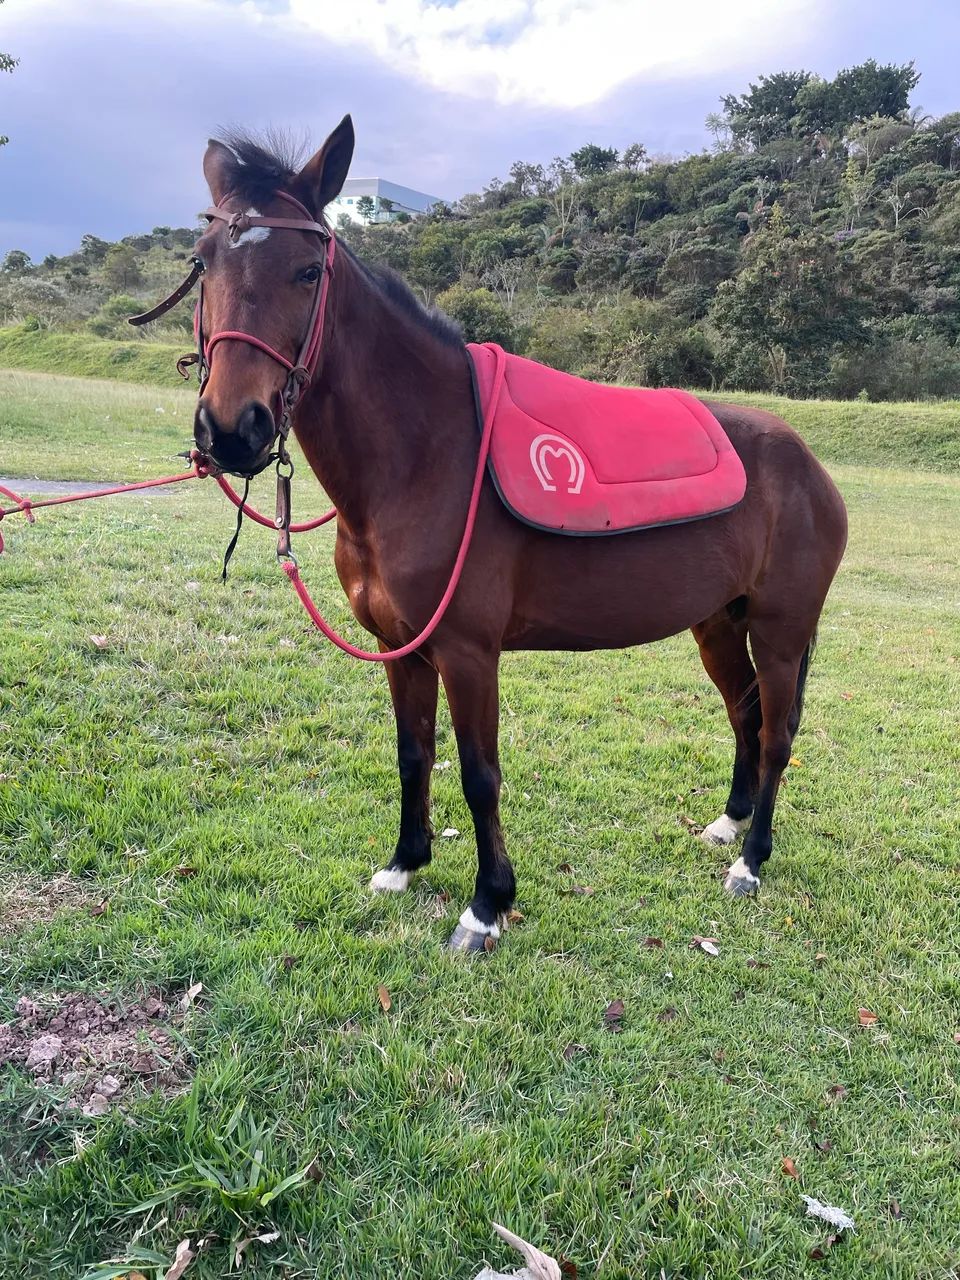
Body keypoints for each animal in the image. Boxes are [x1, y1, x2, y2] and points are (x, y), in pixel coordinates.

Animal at [188, 115, 848, 951]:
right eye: (200, 263)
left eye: (308, 271)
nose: (231, 430)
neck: (427, 455)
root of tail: (808, 463)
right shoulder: (399, 646)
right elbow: (413, 754)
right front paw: (404, 865)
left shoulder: (468, 652)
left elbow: (479, 775)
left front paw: (487, 906)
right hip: (718, 625)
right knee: (748, 713)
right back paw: (728, 828)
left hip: (782, 629)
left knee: (777, 736)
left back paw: (751, 861)